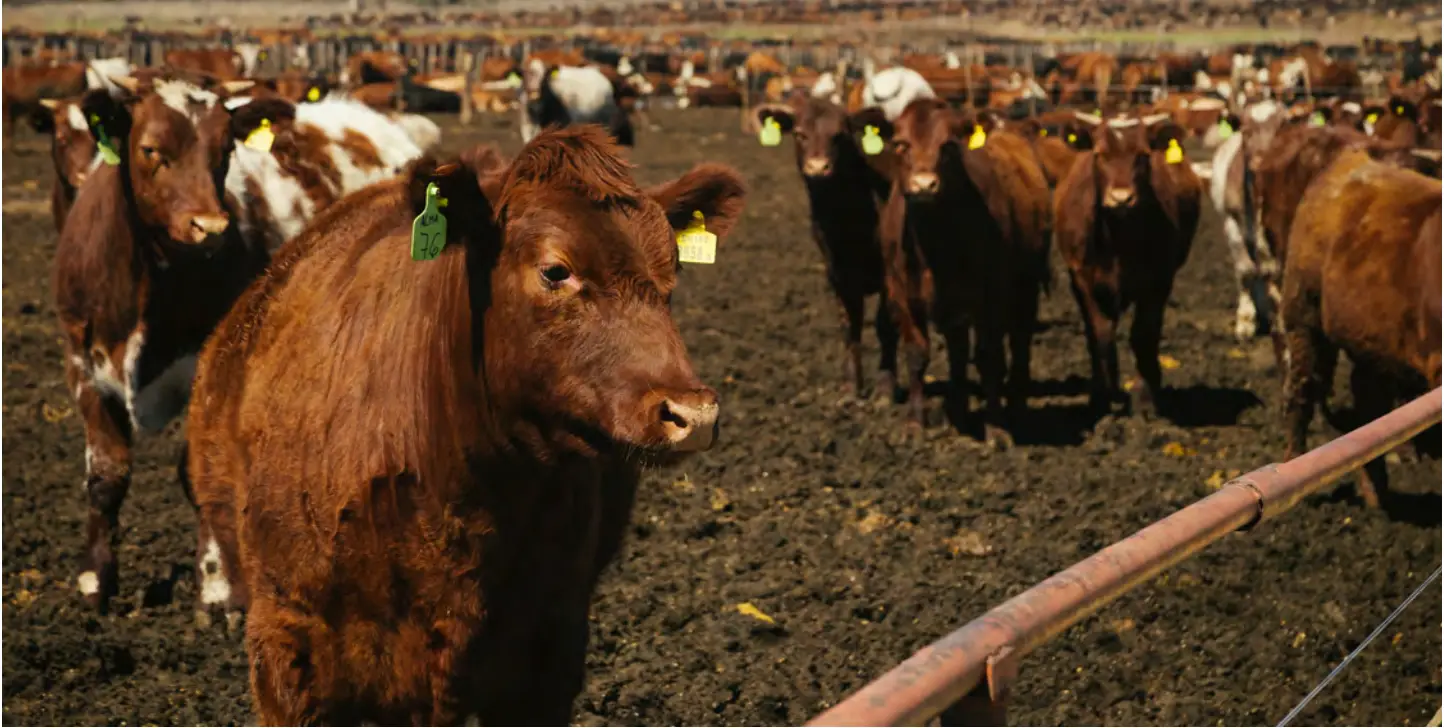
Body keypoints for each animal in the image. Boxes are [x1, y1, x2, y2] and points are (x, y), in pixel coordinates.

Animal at [54, 76, 265, 613]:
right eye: (151, 149)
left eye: (226, 149)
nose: (210, 228)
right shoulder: (81, 363)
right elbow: (107, 473)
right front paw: (94, 580)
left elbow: (198, 469)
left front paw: (217, 587)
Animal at [752, 96, 899, 399]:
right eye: (799, 134)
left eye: (839, 135)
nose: (818, 168)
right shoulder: (837, 274)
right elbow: (849, 325)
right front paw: (851, 386)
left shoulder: (889, 273)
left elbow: (885, 325)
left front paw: (885, 386)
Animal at [880, 100, 1052, 443]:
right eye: (901, 144)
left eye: (947, 145)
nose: (923, 185)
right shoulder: (902, 295)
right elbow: (917, 355)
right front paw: (914, 424)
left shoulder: (992, 296)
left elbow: (989, 357)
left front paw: (996, 428)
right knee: (958, 350)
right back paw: (957, 413)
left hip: (1026, 286)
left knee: (1019, 341)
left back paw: (1016, 407)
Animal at [1054, 113, 1202, 416]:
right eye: (1099, 154)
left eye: (1143, 155)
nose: (1121, 198)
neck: (1117, 240)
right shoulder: (1083, 279)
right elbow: (1100, 335)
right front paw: (1103, 396)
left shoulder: (1159, 280)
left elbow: (1144, 334)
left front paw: (1145, 398)